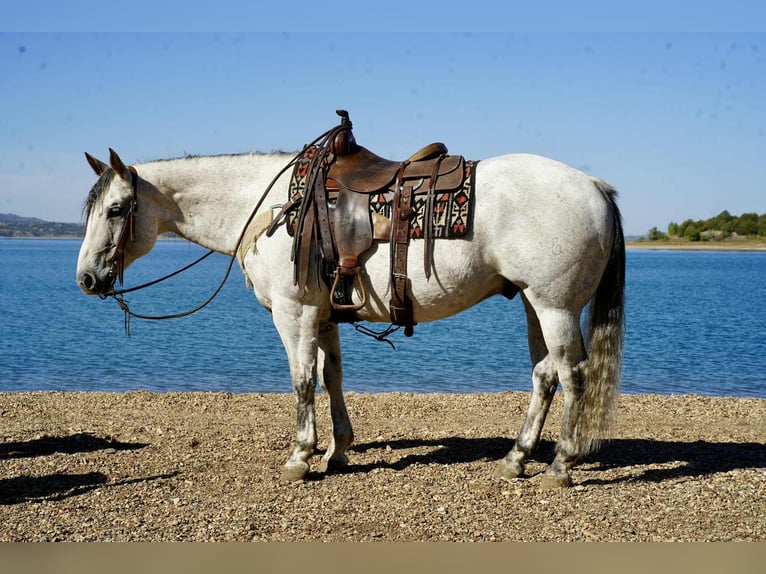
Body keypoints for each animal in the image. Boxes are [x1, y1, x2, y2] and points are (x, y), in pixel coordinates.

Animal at [76, 136, 625, 489]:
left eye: (116, 210)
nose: (86, 279)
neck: (270, 208)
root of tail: (595, 185)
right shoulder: (323, 314)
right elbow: (330, 376)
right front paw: (337, 451)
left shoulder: (294, 312)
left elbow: (301, 379)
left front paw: (301, 457)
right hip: (534, 303)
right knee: (544, 376)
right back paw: (516, 458)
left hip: (555, 306)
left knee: (573, 376)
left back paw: (560, 466)